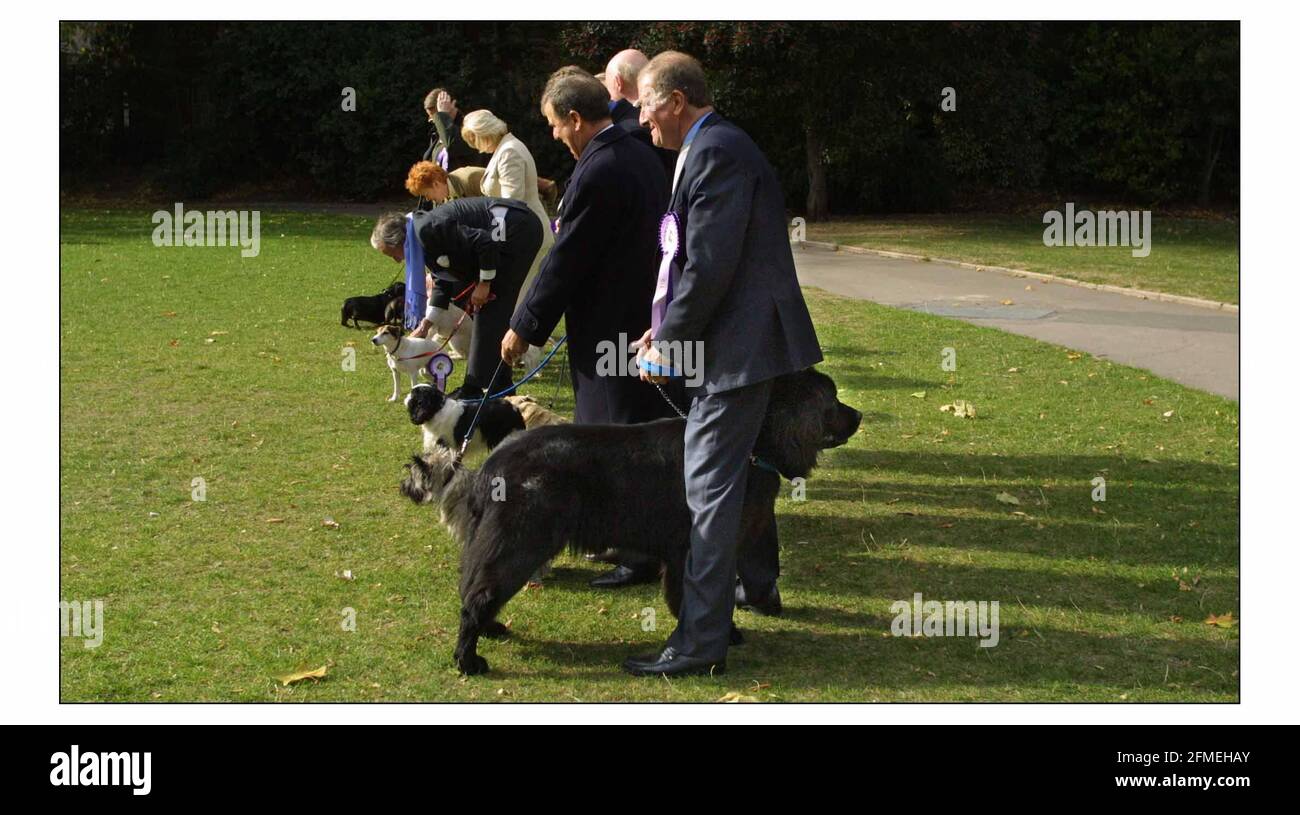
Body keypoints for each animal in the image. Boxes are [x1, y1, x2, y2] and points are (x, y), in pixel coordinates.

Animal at [397, 369, 863, 675]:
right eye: (833, 400)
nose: (858, 415)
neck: (755, 441)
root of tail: (494, 463)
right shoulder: (703, 544)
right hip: (519, 543)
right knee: (477, 596)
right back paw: (468, 660)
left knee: (476, 589)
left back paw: (491, 629)